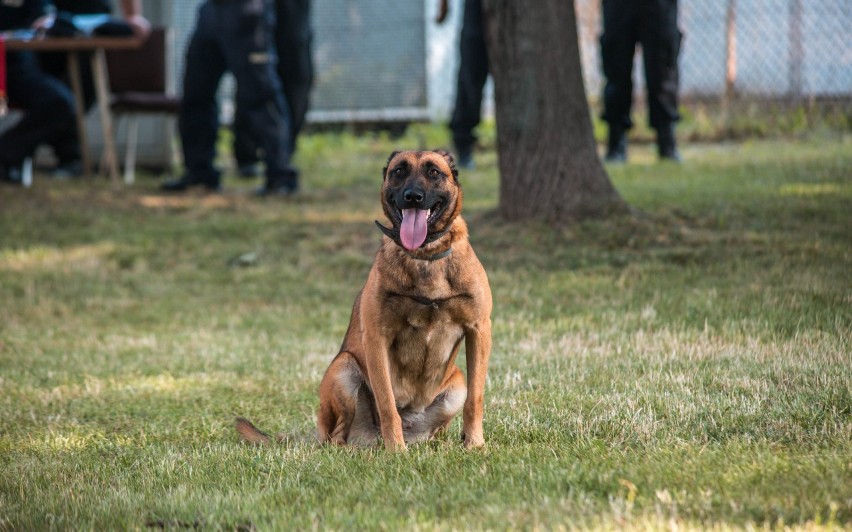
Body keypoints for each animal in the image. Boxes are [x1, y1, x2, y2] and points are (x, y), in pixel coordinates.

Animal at [238, 149, 492, 448]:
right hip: (344, 368)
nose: (413, 196)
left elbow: (475, 399)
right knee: (336, 439)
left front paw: (474, 444)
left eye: (433, 172)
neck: (424, 256)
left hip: (456, 385)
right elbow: (387, 404)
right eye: (399, 171)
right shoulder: (377, 337)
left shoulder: (479, 330)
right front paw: (397, 451)